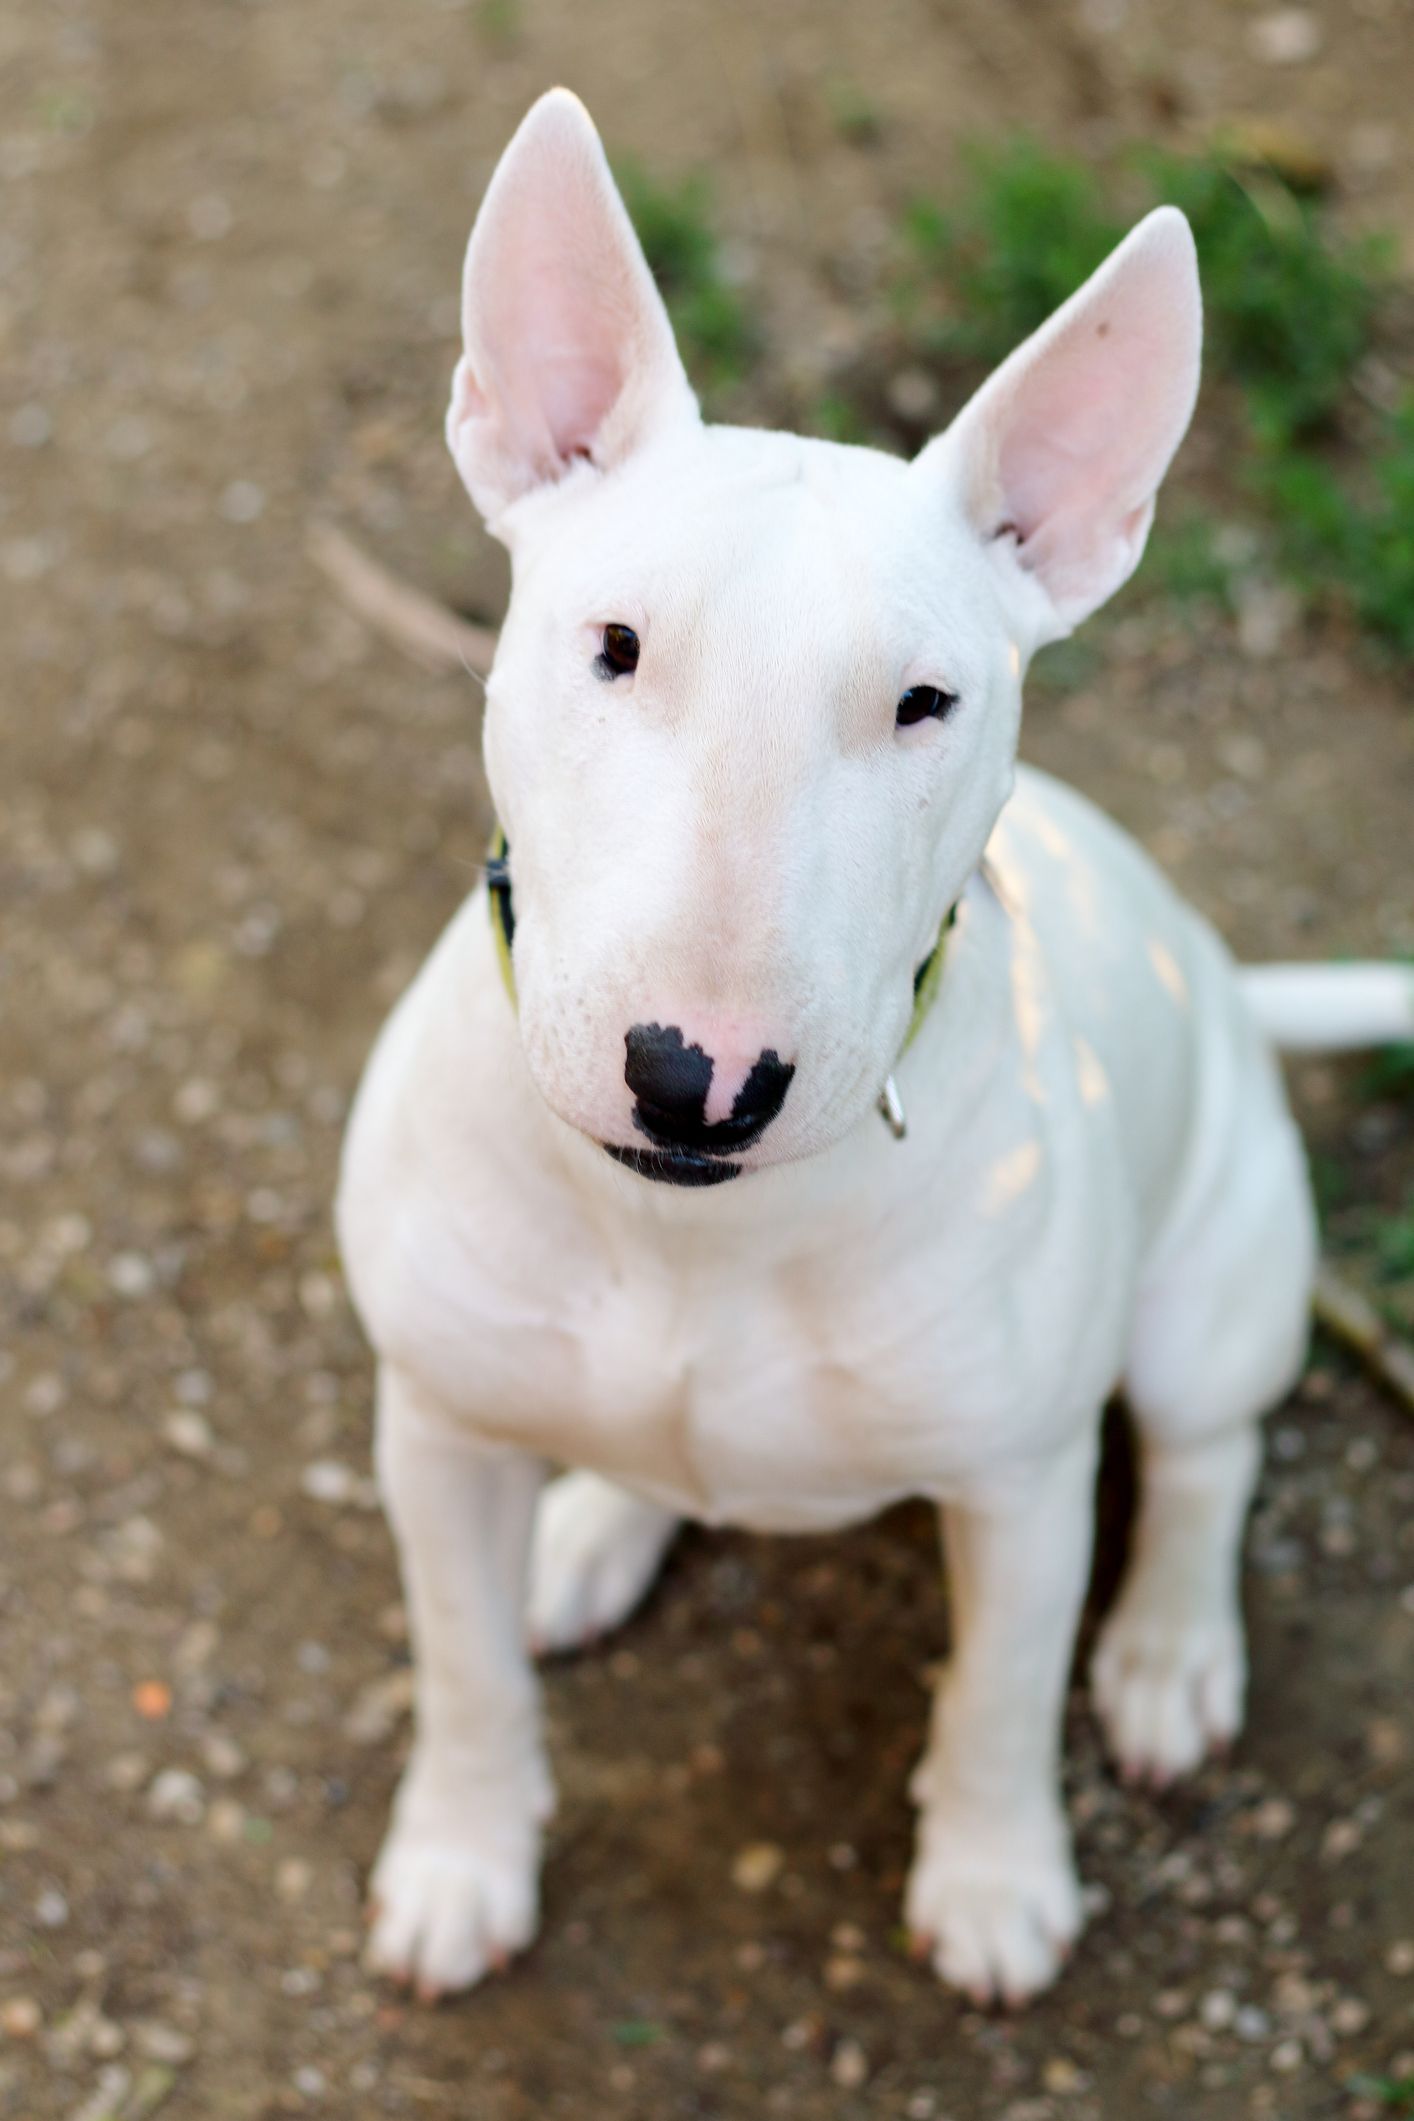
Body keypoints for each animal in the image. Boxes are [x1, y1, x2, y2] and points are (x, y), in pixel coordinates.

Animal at [337, 86, 1407, 2002]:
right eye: (611, 646)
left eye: (924, 702)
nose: (696, 1079)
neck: (687, 1233)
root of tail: (1219, 966)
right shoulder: (435, 1428)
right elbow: (461, 1671)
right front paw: (458, 1864)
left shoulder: (1022, 1484)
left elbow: (995, 1692)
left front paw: (993, 1882)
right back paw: (592, 1528)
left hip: (1213, 1284)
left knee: (1206, 1461)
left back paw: (1164, 1657)